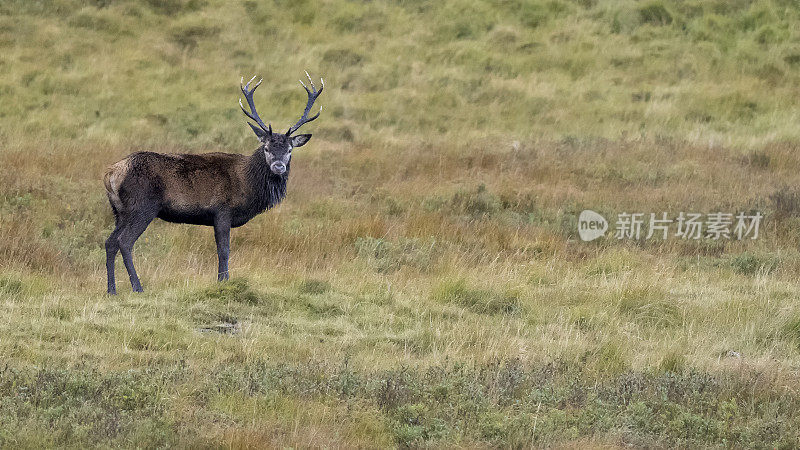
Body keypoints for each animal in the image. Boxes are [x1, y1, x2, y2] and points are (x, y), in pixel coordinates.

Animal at [103, 71, 322, 294]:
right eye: (267, 148)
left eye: (289, 150)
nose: (279, 166)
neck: (248, 186)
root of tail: (111, 173)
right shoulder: (222, 210)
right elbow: (224, 250)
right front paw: (223, 281)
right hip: (142, 206)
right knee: (124, 241)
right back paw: (137, 287)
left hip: (120, 211)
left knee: (110, 242)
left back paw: (111, 289)